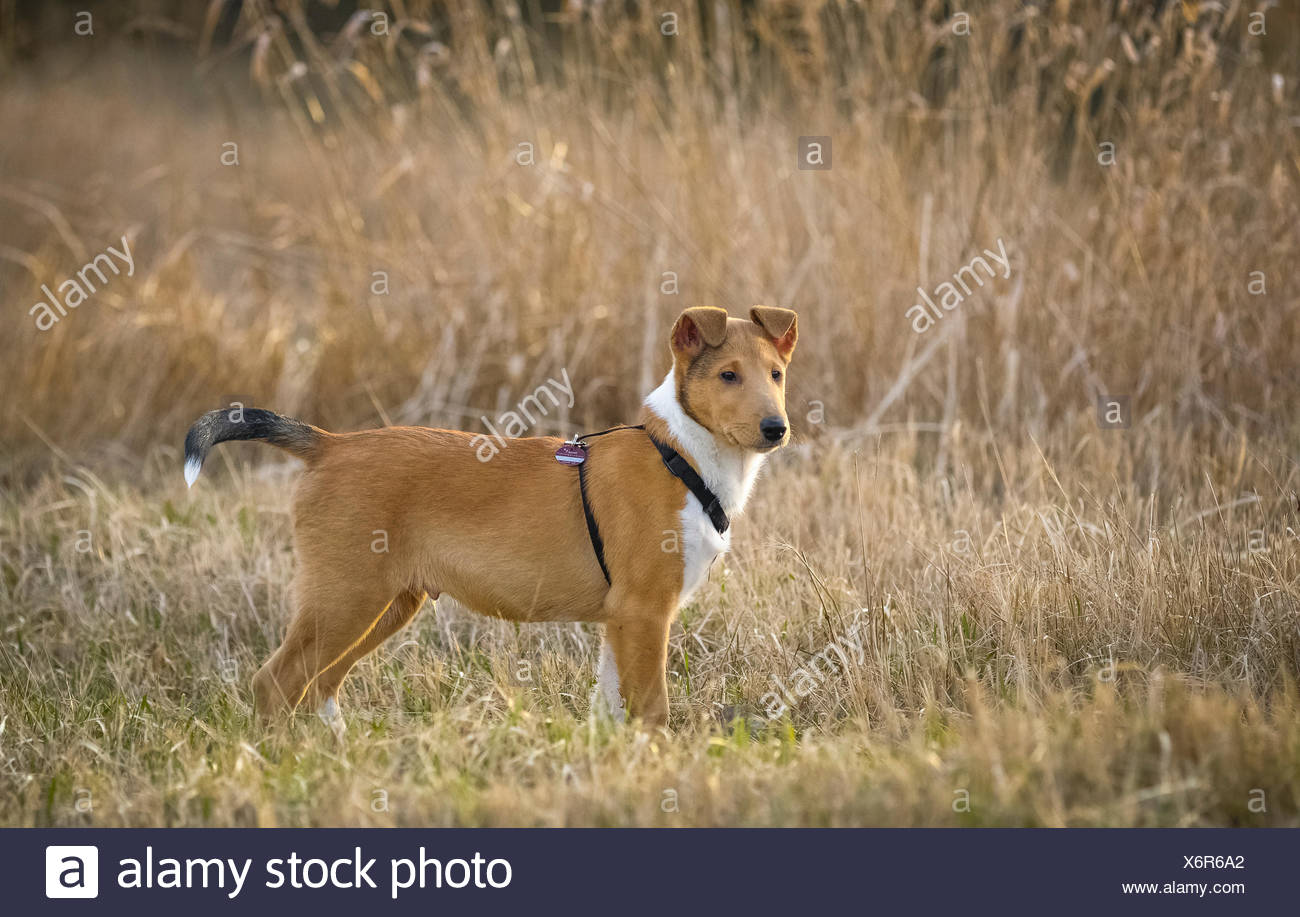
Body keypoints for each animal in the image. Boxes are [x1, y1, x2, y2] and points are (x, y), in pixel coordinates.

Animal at [182, 306, 790, 728]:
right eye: (729, 376)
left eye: (777, 374)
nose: (776, 428)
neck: (681, 456)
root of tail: (330, 445)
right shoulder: (644, 612)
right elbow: (652, 710)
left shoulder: (620, 620)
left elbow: (612, 708)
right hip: (345, 599)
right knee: (275, 683)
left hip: (384, 604)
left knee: (319, 688)